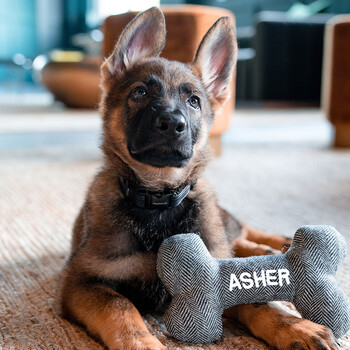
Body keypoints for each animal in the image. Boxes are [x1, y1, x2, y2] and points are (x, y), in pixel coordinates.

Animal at [61, 6, 340, 350]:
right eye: (139, 92)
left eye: (193, 101)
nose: (172, 123)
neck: (159, 199)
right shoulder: (83, 281)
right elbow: (120, 307)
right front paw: (143, 343)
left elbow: (258, 300)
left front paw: (296, 326)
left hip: (218, 227)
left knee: (237, 231)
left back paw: (276, 246)